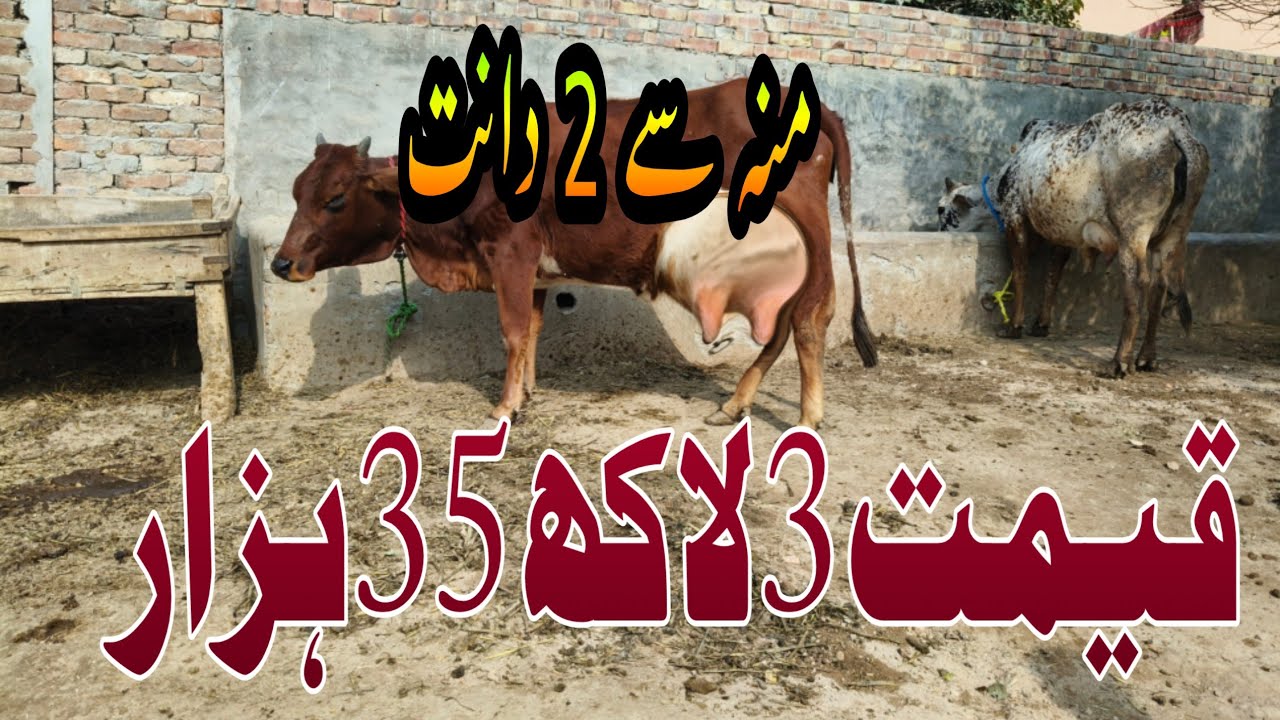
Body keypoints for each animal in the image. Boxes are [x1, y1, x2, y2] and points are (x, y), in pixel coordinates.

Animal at [271, 79, 878, 428]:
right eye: (296, 190)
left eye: (335, 198)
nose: (281, 263)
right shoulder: (536, 268)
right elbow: (533, 330)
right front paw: (528, 391)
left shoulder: (510, 252)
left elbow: (513, 330)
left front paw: (506, 406)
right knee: (781, 321)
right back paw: (736, 403)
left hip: (809, 241)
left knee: (810, 317)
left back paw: (808, 417)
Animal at [936, 97, 1209, 377]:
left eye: (941, 209)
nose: (939, 231)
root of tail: (1173, 125)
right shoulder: (1062, 234)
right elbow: (1052, 276)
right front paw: (1041, 324)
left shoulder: (1015, 217)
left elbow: (1021, 273)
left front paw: (1014, 326)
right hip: (1172, 235)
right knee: (1160, 285)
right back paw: (1146, 358)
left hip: (1132, 233)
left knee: (1138, 284)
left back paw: (1119, 361)